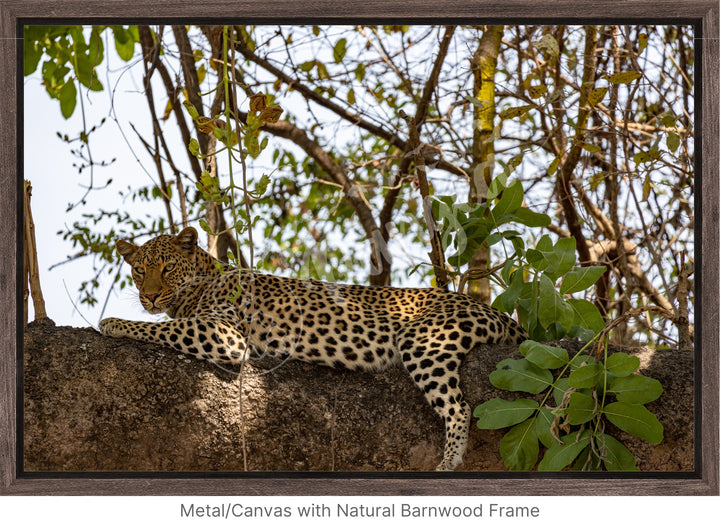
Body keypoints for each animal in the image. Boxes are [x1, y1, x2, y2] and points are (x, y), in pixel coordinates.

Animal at [100, 224, 528, 470]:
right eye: (139, 270)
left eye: (167, 268)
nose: (150, 296)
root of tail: (496, 312)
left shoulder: (224, 333)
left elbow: (164, 328)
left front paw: (112, 323)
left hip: (424, 339)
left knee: (459, 406)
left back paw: (449, 459)